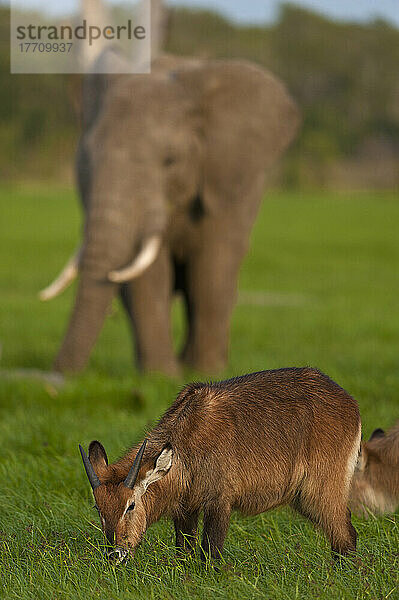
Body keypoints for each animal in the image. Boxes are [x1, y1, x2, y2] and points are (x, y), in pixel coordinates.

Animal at [42, 51, 302, 376]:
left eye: (170, 160)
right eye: (86, 158)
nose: (60, 374)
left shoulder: (226, 186)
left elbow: (212, 265)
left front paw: (205, 373)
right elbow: (149, 275)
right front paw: (160, 376)